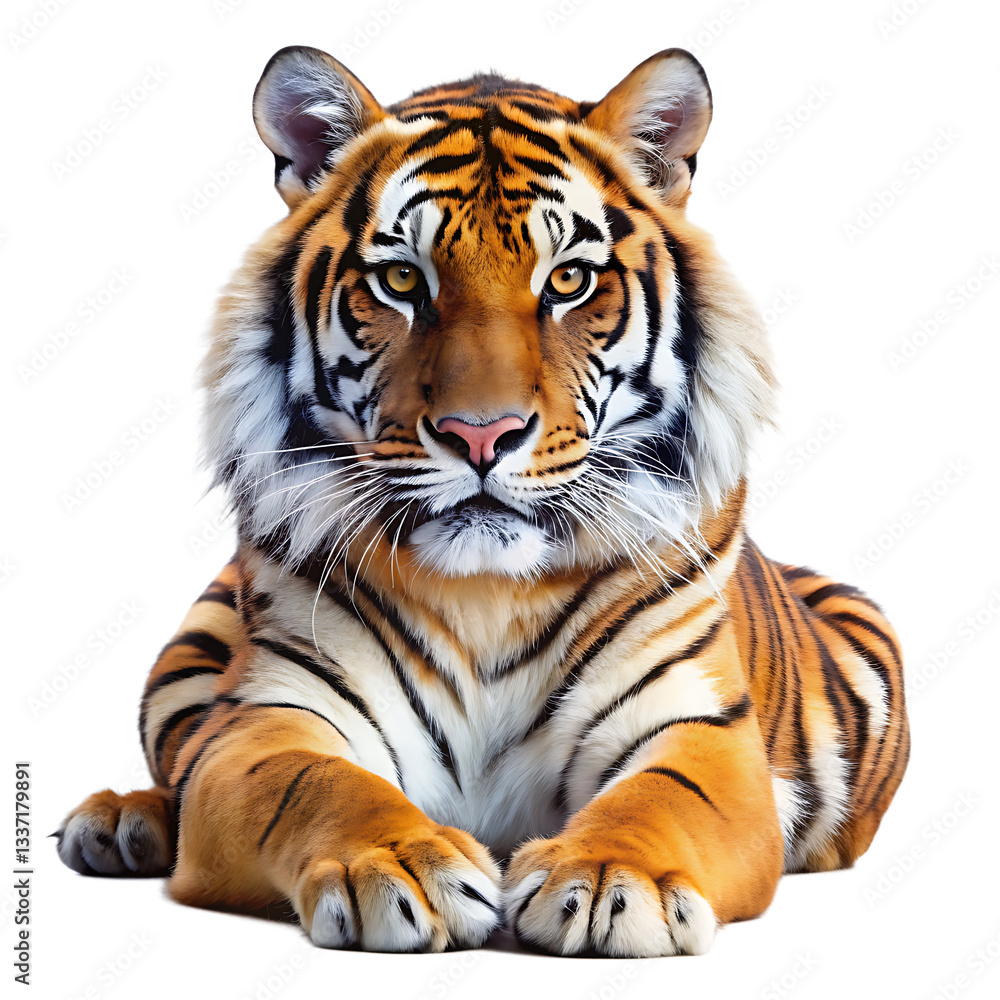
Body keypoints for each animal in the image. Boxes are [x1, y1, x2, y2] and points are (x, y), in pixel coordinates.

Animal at [55, 45, 909, 957]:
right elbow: (317, 783)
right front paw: (399, 865)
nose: (481, 434)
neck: (488, 593)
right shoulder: (267, 720)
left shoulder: (699, 729)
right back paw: (119, 824)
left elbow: (661, 798)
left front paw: (606, 879)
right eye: (402, 279)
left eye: (568, 280)